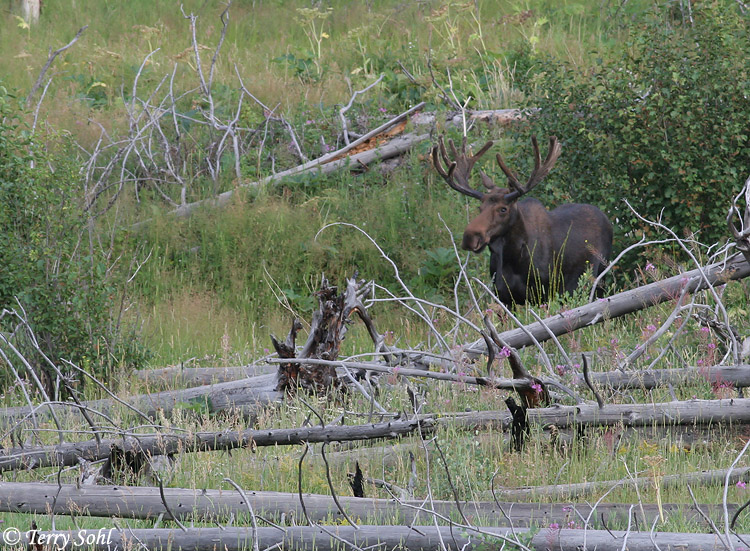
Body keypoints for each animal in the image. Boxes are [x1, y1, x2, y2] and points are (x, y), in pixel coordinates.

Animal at [432, 135, 613, 306]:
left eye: (503, 209)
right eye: (480, 208)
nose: (470, 237)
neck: (513, 260)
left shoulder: (543, 294)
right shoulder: (503, 296)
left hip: (597, 278)